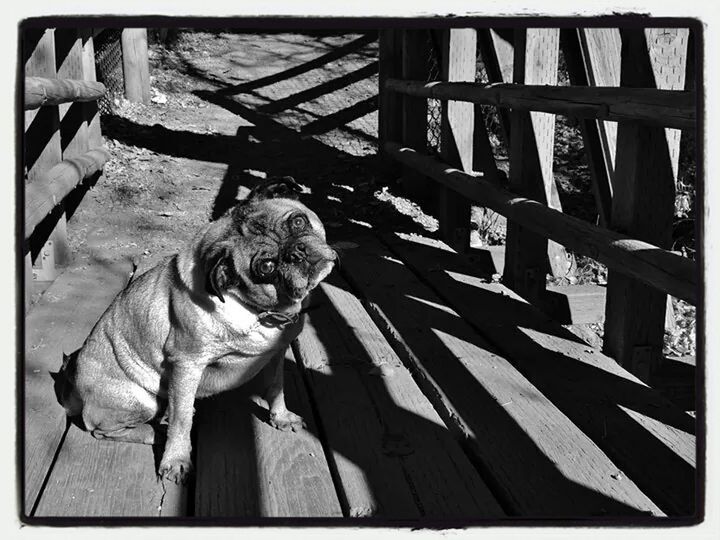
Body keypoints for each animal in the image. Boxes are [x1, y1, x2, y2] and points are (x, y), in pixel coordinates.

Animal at [56, 177, 338, 486]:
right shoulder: (187, 364)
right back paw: (156, 432)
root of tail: (74, 387)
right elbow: (182, 421)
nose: (295, 252)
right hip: (141, 401)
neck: (259, 312)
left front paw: (281, 416)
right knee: (103, 429)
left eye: (298, 222)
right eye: (266, 267)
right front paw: (176, 460)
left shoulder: (276, 353)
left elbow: (276, 388)